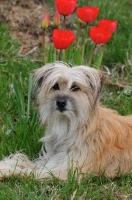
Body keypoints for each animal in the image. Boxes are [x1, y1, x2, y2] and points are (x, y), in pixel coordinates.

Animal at [0, 61, 132, 180]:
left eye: (75, 87)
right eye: (55, 86)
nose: (61, 102)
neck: (70, 126)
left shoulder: (63, 170)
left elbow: (28, 171)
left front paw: (5, 170)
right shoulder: (52, 160)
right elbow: (24, 161)